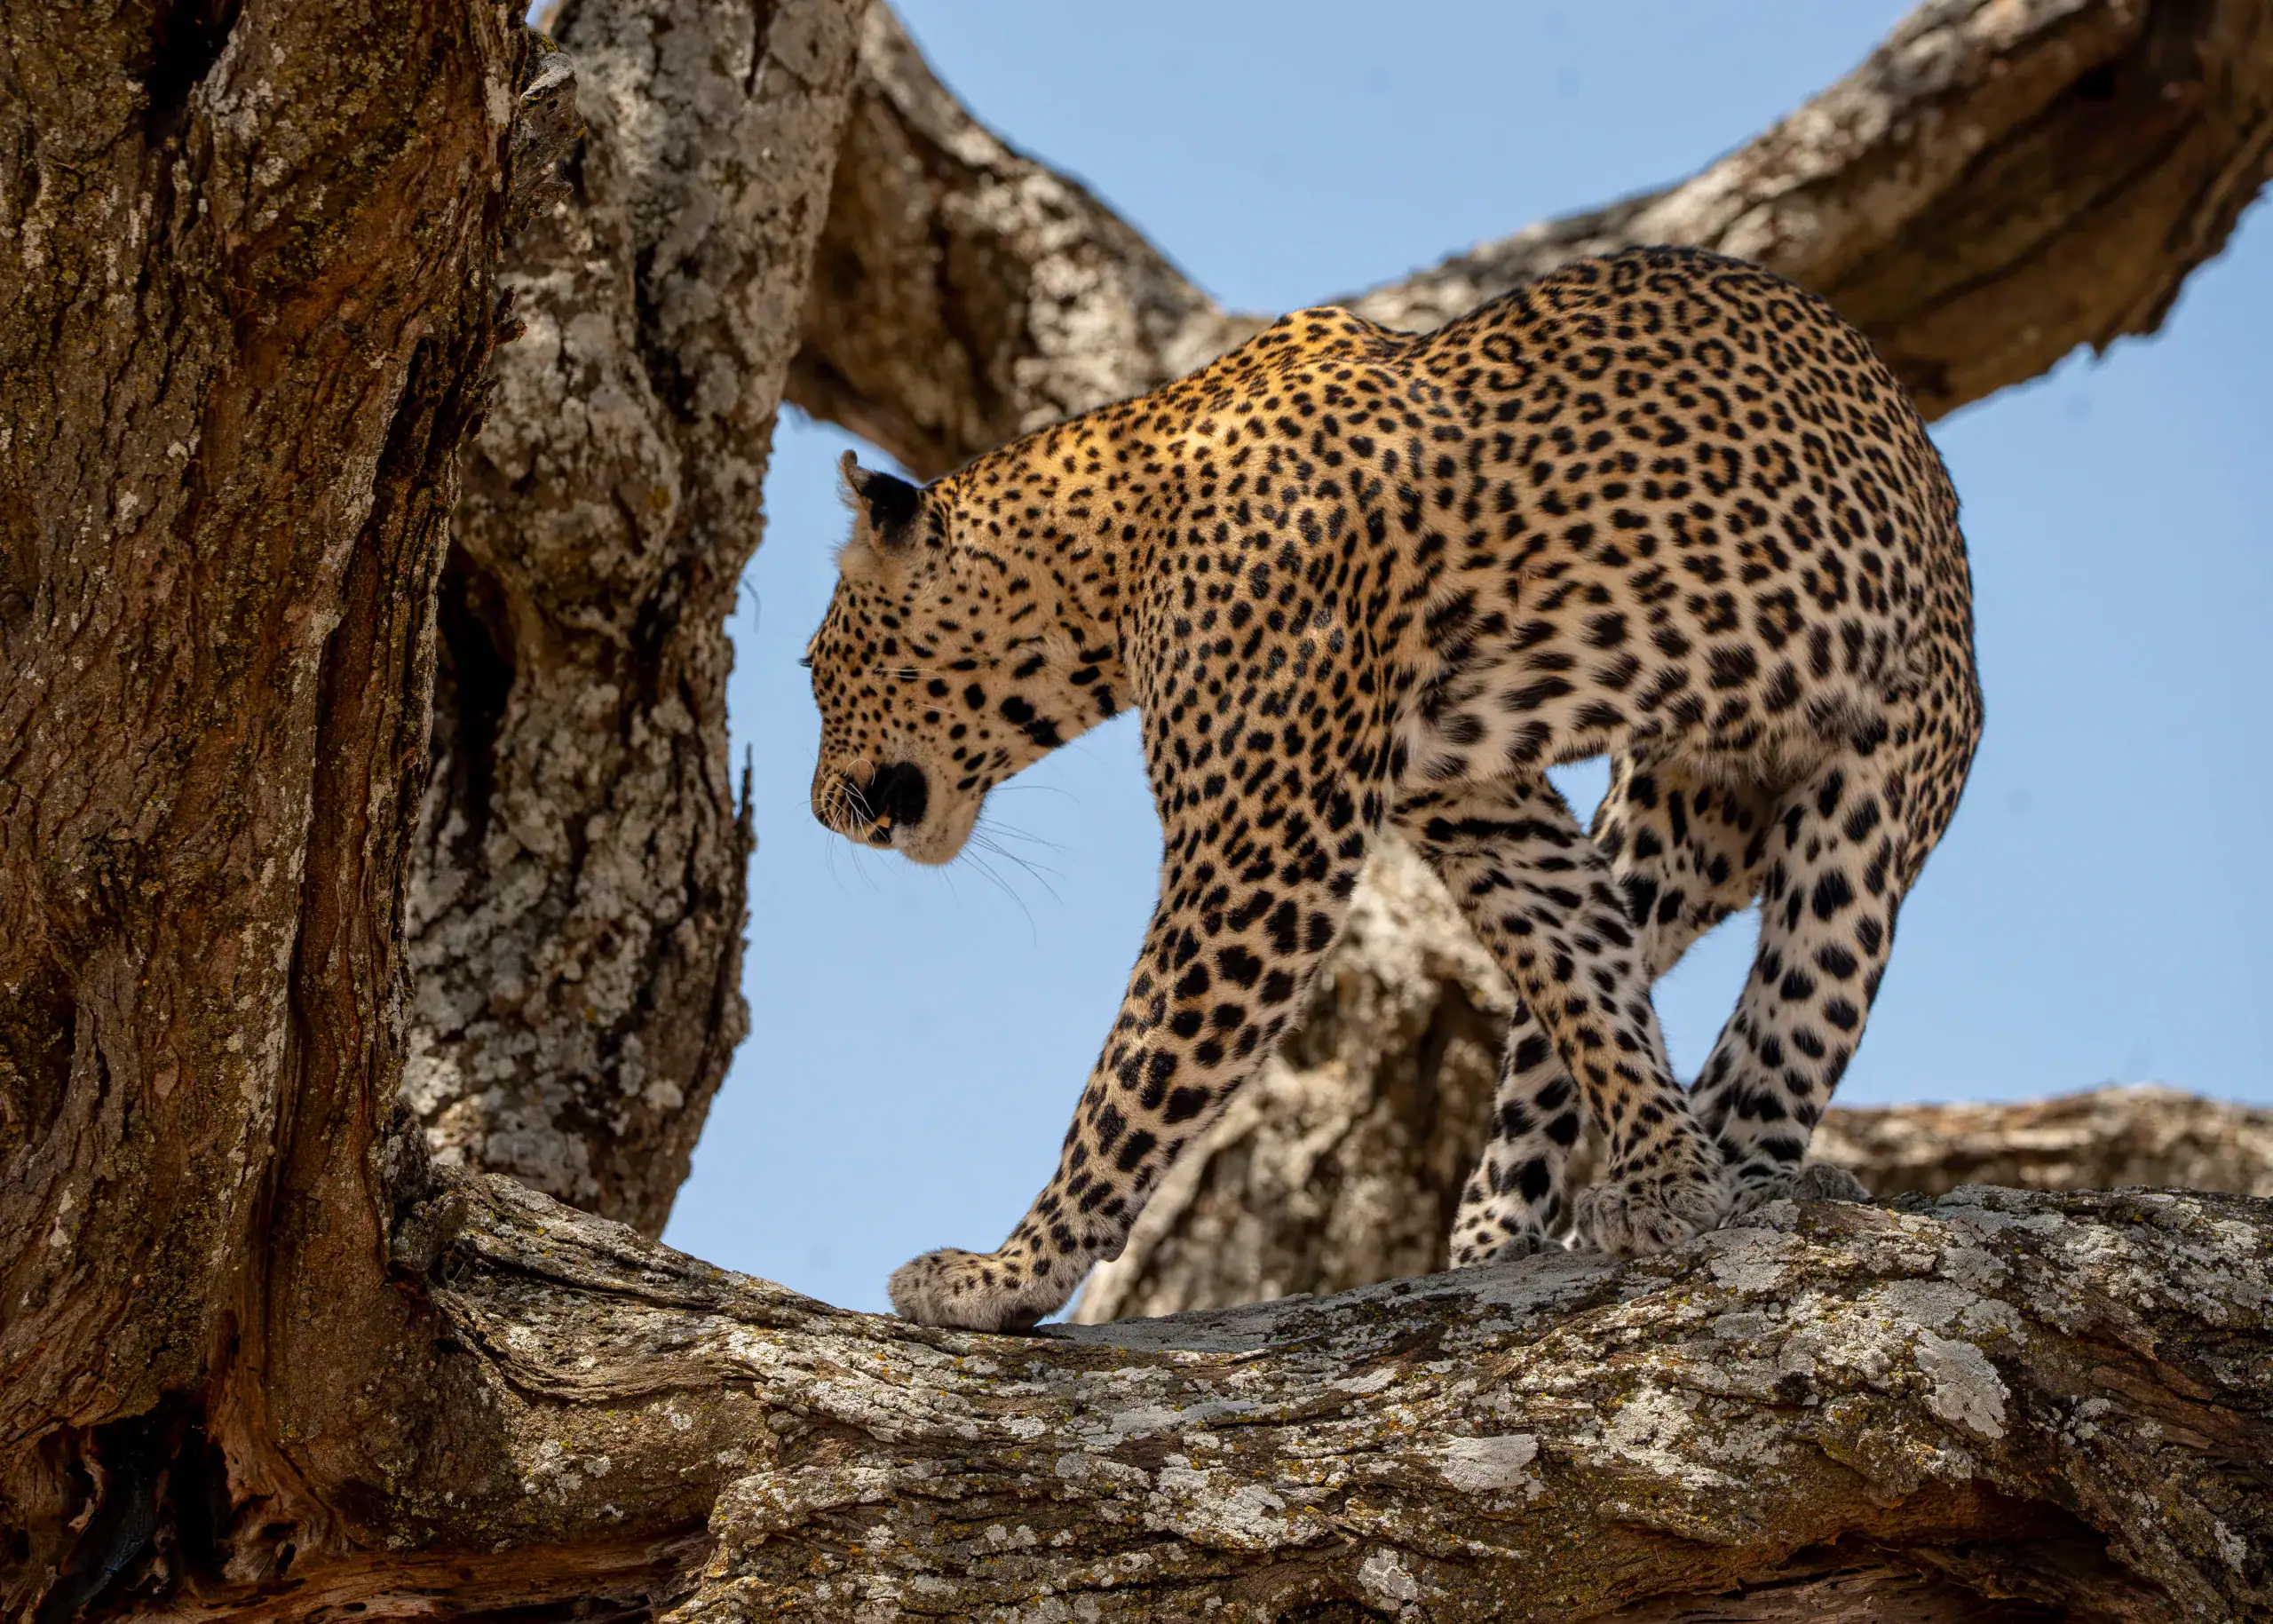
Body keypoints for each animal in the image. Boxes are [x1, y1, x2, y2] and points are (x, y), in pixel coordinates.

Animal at [803, 245, 1982, 1332]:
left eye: (815, 669)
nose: (818, 807)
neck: (1108, 552)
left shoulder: (1260, 851)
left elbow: (1137, 1074)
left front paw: (1006, 1272)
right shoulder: (1479, 808)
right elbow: (1585, 983)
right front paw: (1664, 1174)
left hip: (1875, 788)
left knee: (1800, 1007)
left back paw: (1761, 1171)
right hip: (1671, 822)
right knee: (1575, 1016)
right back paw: (1521, 1230)